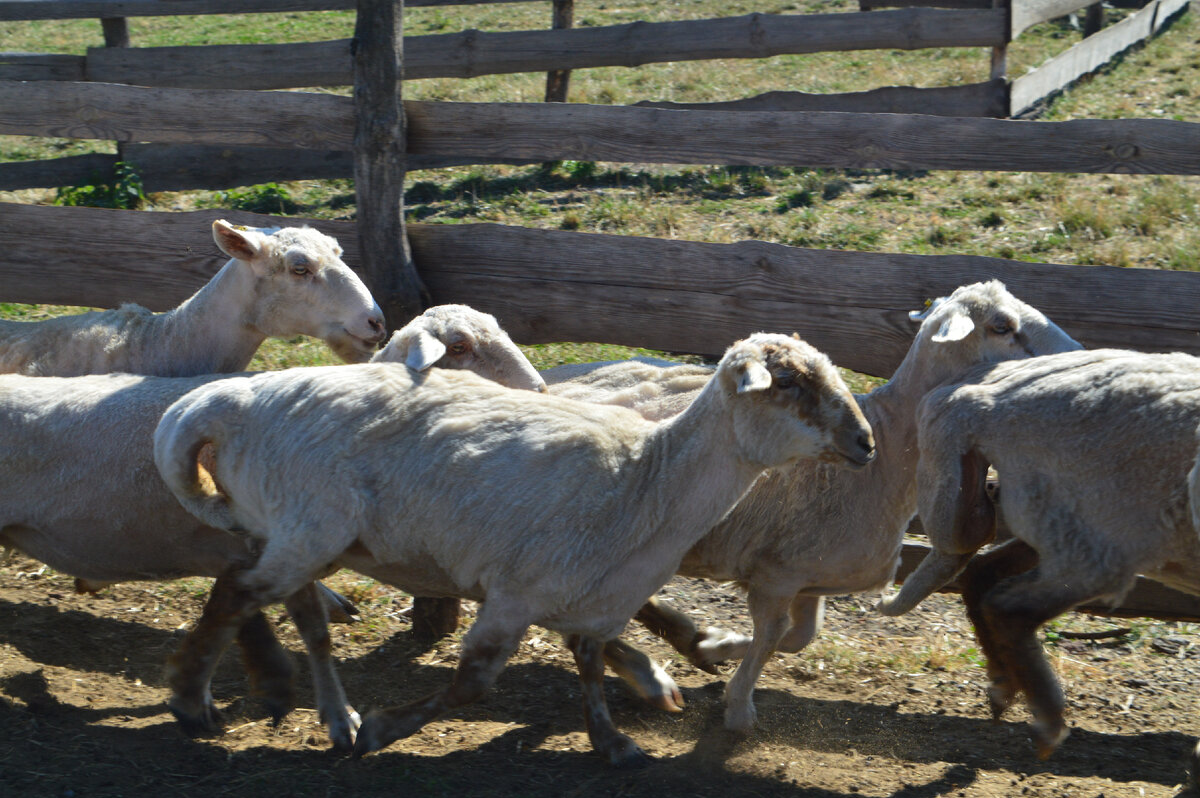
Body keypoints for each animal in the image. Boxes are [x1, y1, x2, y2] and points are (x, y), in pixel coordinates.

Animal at [0, 302, 544, 748]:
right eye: (460, 347)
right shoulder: (272, 548)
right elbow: (295, 629)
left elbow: (293, 629)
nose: (540, 391)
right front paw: (331, 715)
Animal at [154, 333, 878, 763]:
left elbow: (589, 663)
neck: (651, 478)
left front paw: (612, 738)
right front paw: (390, 727)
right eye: (789, 384)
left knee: (284, 605)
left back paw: (300, 698)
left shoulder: (598, 597)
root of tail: (234, 400)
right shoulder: (515, 593)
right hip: (309, 526)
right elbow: (473, 683)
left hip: (293, 531)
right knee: (236, 593)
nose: (866, 441)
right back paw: (193, 700)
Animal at [540, 279, 1084, 729]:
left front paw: (717, 649)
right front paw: (738, 706)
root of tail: (552, 377)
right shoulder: (775, 574)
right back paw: (648, 674)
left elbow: (798, 637)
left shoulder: (807, 575)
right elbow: (773, 635)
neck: (890, 453)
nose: (1079, 354)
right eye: (1002, 326)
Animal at [878, 348, 1200, 758]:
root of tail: (973, 398)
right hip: (1097, 536)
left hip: (1054, 521)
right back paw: (1046, 722)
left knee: (981, 573)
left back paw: (1003, 687)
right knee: (1007, 605)